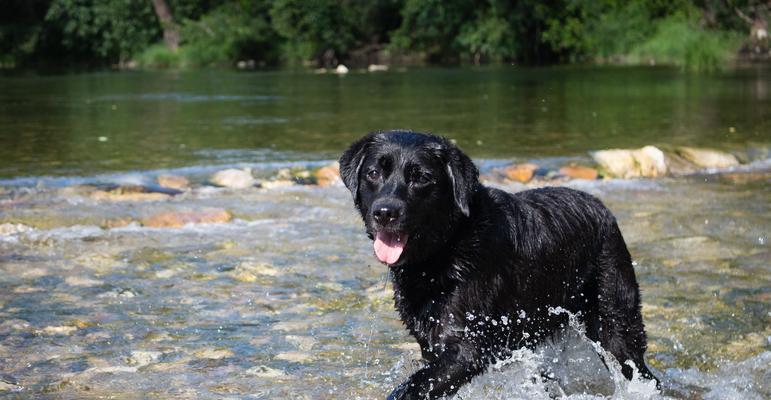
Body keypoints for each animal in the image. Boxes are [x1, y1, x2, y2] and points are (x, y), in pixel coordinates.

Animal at [340, 130, 660, 396]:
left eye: (421, 178)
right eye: (373, 173)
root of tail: (604, 210)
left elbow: (414, 385)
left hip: (615, 323)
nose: (385, 212)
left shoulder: (468, 346)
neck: (447, 246)